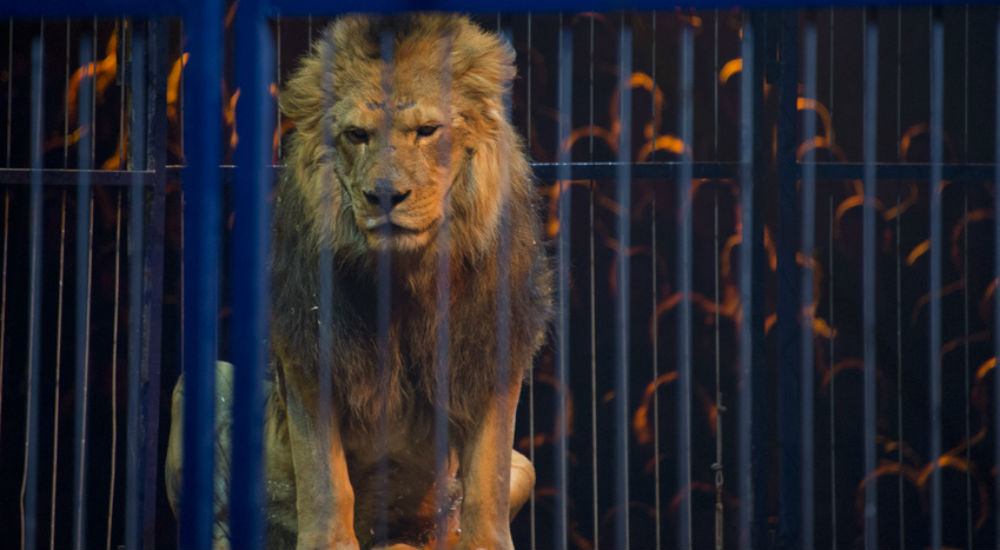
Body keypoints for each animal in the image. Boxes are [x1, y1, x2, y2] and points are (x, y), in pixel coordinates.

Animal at [167, 14, 552, 550]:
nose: (385, 195)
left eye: (427, 131)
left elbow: (486, 485)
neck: (406, 274)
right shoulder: (310, 353)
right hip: (198, 382)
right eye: (356, 135)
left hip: (525, 465)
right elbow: (326, 485)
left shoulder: (490, 351)